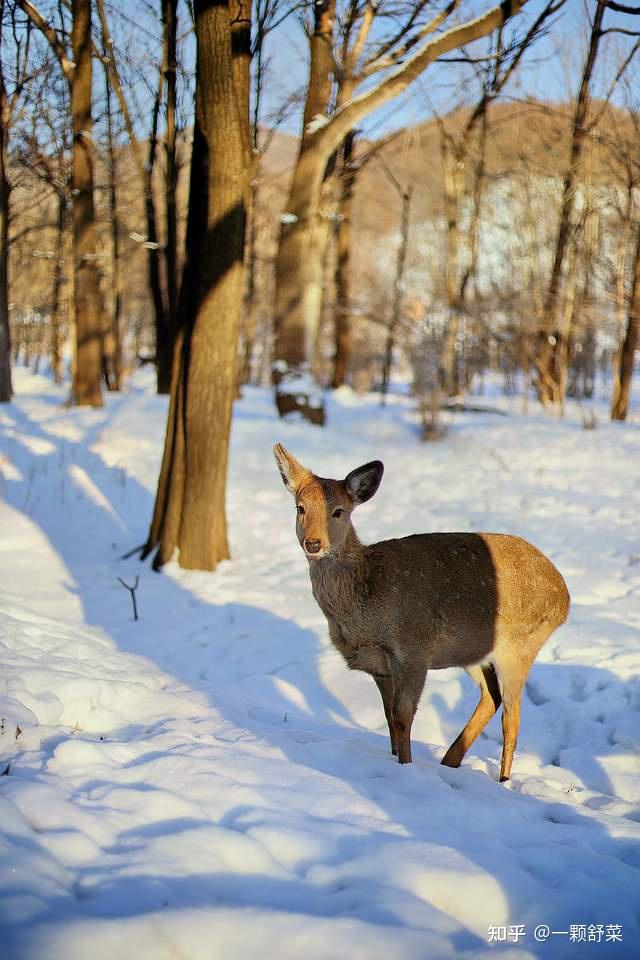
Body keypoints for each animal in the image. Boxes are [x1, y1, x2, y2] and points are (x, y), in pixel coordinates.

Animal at [274, 446, 568, 784]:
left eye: (338, 511)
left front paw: (406, 768)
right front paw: (394, 761)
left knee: (513, 717)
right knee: (491, 697)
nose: (313, 543)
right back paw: (450, 761)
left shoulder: (413, 650)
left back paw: (503, 781)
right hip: (473, 652)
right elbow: (389, 717)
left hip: (520, 644)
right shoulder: (380, 666)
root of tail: (564, 596)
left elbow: (403, 717)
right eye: (300, 508)